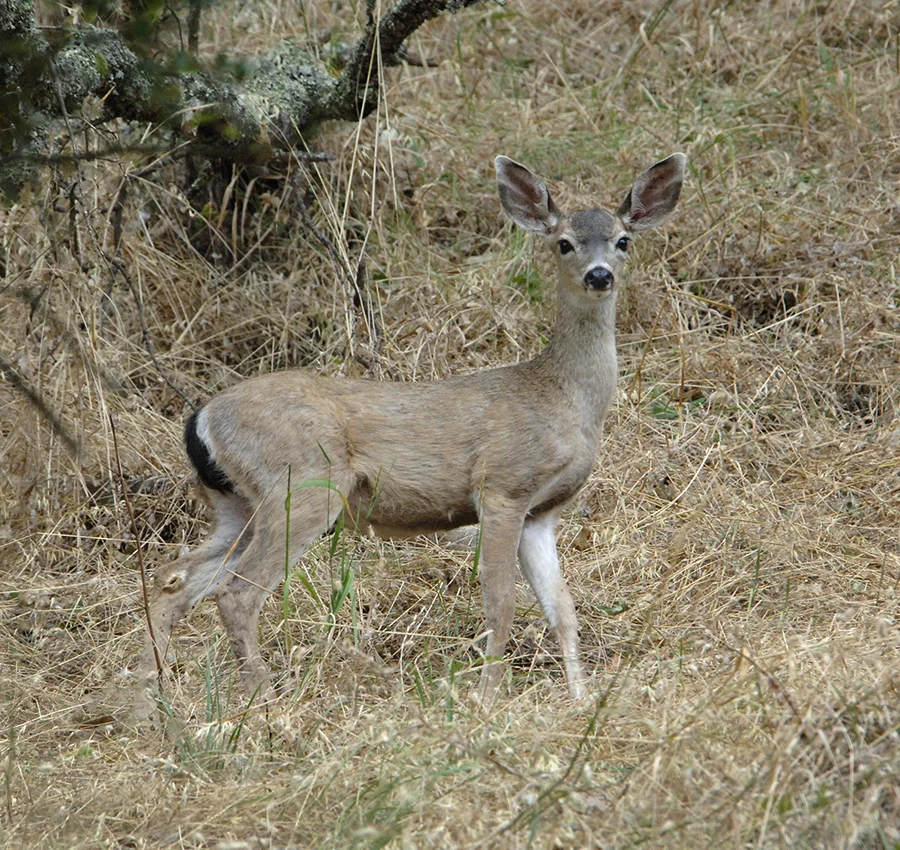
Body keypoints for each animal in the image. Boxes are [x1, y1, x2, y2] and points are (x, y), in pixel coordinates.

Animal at [133, 152, 686, 720]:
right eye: (564, 243)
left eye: (623, 240)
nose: (599, 275)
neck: (564, 400)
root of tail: (201, 419)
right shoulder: (502, 485)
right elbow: (500, 602)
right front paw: (487, 700)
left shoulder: (542, 512)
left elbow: (562, 608)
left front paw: (580, 699)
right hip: (302, 484)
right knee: (236, 594)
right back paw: (263, 704)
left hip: (238, 505)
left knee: (174, 580)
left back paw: (152, 704)